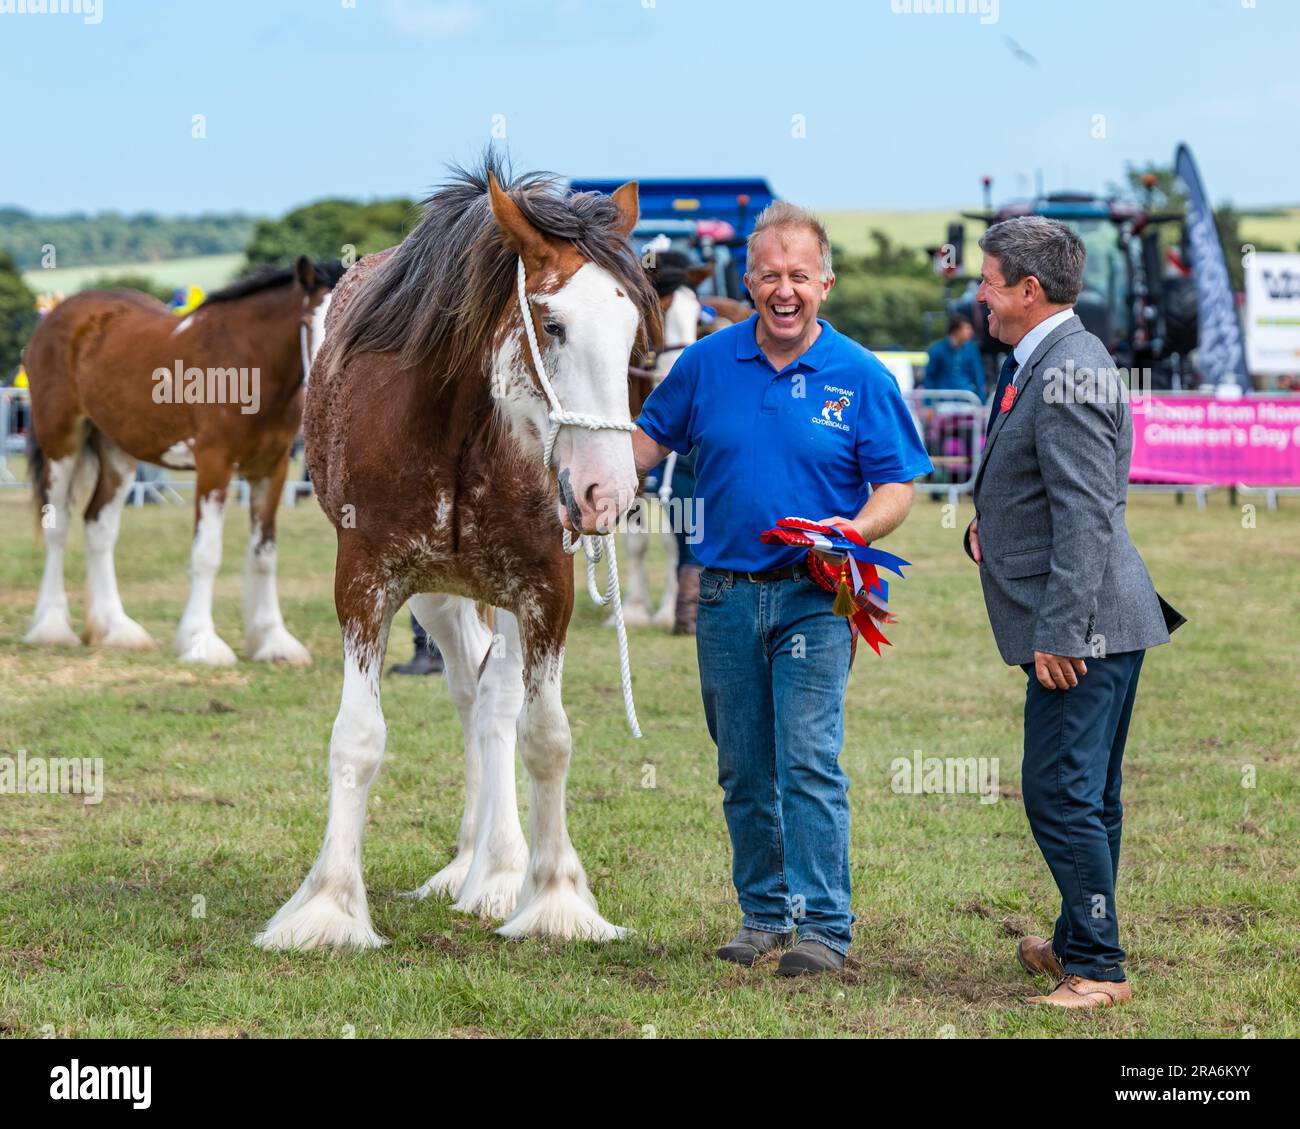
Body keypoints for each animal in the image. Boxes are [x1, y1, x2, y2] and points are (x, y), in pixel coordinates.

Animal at [24, 260, 343, 665]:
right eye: (306, 321)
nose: (327, 378)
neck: (248, 362)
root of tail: (56, 316)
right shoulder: (214, 463)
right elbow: (206, 553)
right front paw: (201, 642)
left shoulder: (271, 469)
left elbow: (265, 553)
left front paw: (274, 642)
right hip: (60, 442)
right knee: (58, 527)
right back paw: (51, 627)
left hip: (117, 451)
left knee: (98, 526)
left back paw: (116, 630)